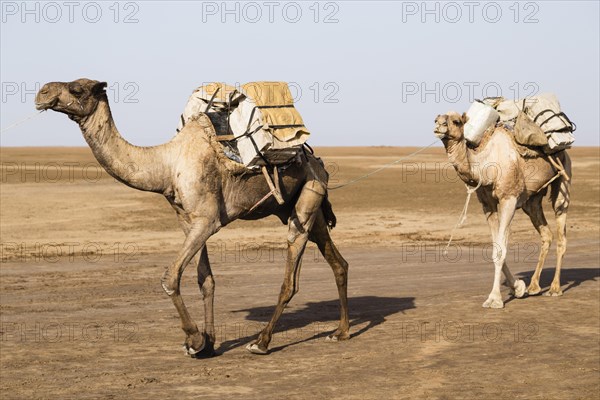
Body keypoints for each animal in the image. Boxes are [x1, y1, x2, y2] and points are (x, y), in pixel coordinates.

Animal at [35, 78, 350, 356]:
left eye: (77, 88)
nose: (42, 92)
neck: (165, 164)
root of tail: (316, 161)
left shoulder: (208, 220)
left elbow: (170, 277)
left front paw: (194, 340)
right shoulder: (188, 220)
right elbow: (205, 279)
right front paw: (209, 344)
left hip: (308, 196)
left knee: (291, 277)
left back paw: (261, 342)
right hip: (302, 204)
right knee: (338, 262)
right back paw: (341, 332)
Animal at [434, 112, 568, 310]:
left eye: (456, 121)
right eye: (436, 118)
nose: (438, 126)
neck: (484, 163)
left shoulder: (508, 199)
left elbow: (500, 251)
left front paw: (494, 299)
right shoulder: (488, 205)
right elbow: (496, 247)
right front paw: (518, 287)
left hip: (563, 175)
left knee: (560, 226)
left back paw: (555, 288)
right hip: (532, 201)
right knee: (546, 234)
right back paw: (534, 286)